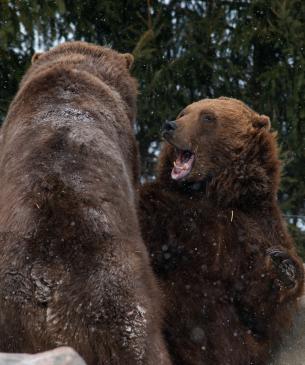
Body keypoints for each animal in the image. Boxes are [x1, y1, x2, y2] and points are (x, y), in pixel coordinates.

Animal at [139, 96, 302, 364]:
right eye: (184, 112)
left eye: (208, 117)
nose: (170, 125)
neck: (213, 192)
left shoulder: (258, 226)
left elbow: (261, 310)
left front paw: (283, 266)